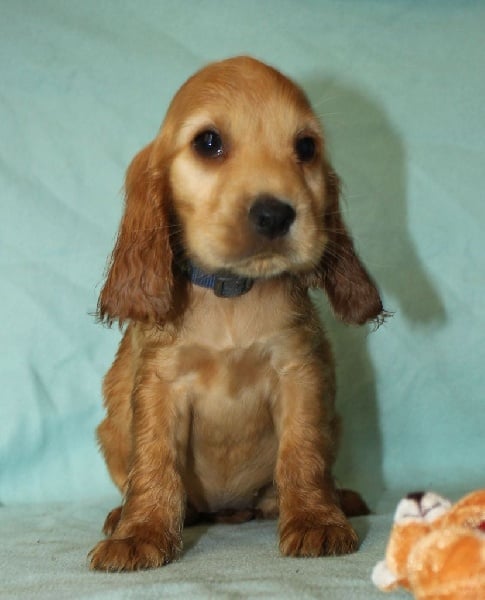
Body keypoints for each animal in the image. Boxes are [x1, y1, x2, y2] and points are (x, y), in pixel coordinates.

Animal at [89, 56, 383, 571]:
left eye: (306, 147)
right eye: (209, 142)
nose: (275, 214)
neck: (231, 294)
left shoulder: (298, 371)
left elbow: (302, 452)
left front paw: (315, 519)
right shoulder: (160, 382)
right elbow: (154, 460)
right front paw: (141, 531)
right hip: (109, 433)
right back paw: (122, 515)